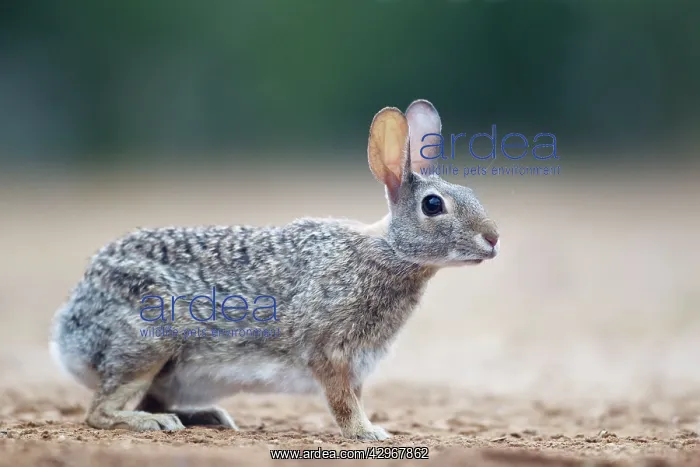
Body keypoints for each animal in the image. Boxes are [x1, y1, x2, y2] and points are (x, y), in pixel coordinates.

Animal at [49, 99, 500, 441]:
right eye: (433, 205)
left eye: (470, 192)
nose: (493, 238)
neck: (388, 250)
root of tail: (69, 331)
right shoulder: (329, 352)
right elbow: (343, 402)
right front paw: (367, 433)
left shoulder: (358, 361)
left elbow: (353, 396)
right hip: (147, 343)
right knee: (100, 411)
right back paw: (155, 423)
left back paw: (206, 417)